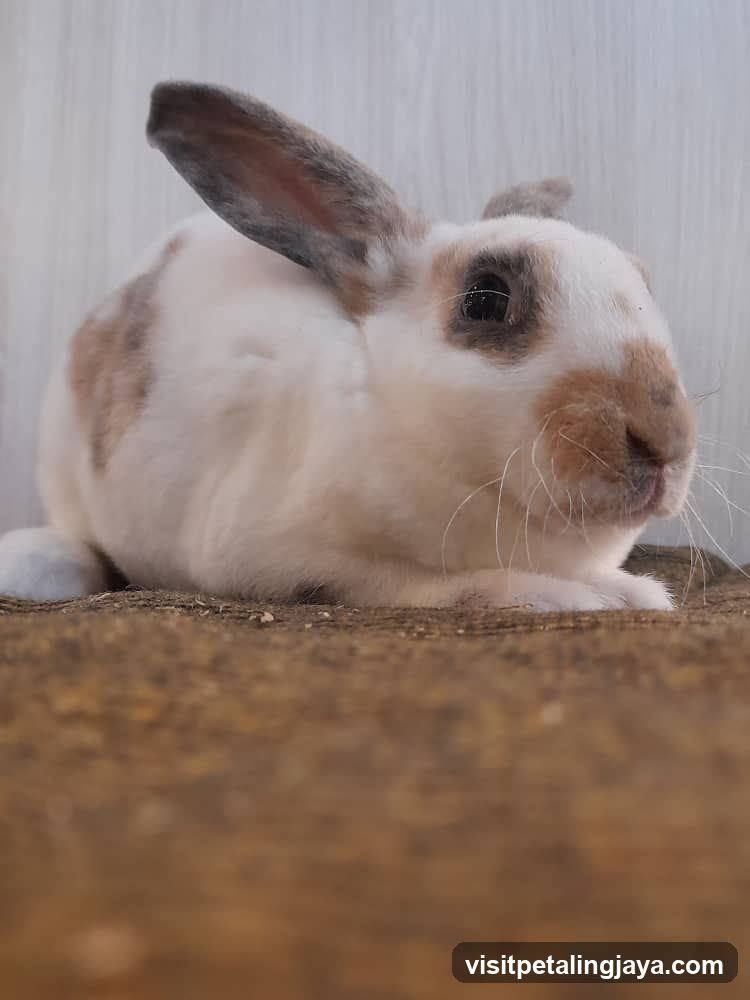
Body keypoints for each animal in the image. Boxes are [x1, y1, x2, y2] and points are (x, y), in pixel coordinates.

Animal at [0, 81, 696, 611]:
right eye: (486, 299)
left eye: (643, 279)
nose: (665, 442)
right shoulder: (284, 559)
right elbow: (437, 586)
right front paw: (591, 596)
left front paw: (627, 589)